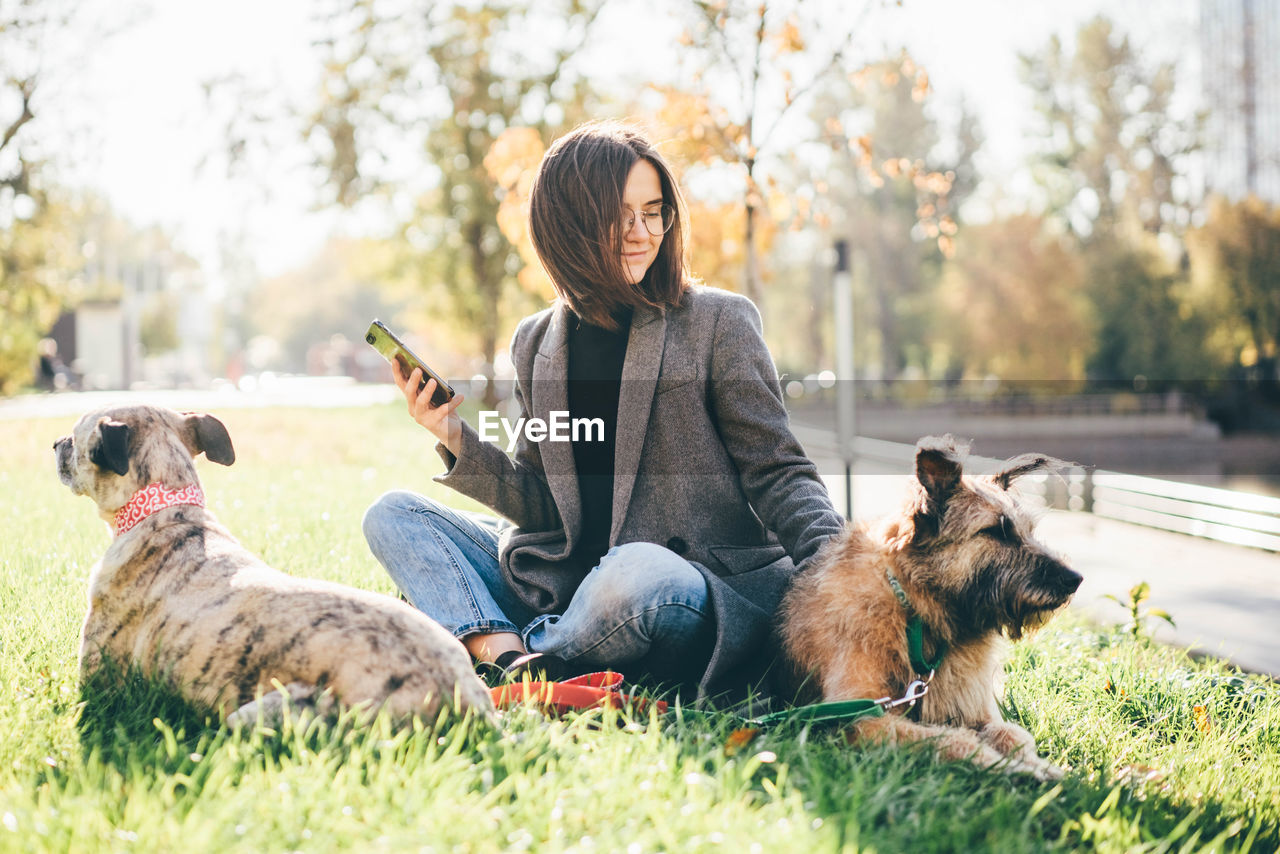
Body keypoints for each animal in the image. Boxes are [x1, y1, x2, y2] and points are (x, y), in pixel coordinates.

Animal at [51, 407, 488, 727]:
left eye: (73, 437)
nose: (55, 442)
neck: (168, 513)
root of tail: (465, 698)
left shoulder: (97, 679)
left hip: (271, 711)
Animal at [778, 437, 1080, 778]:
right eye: (995, 531)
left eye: (1028, 530)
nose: (1075, 579)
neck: (919, 614)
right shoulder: (860, 718)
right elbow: (950, 740)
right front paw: (1012, 769)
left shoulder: (976, 709)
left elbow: (1012, 734)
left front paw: (1040, 767)